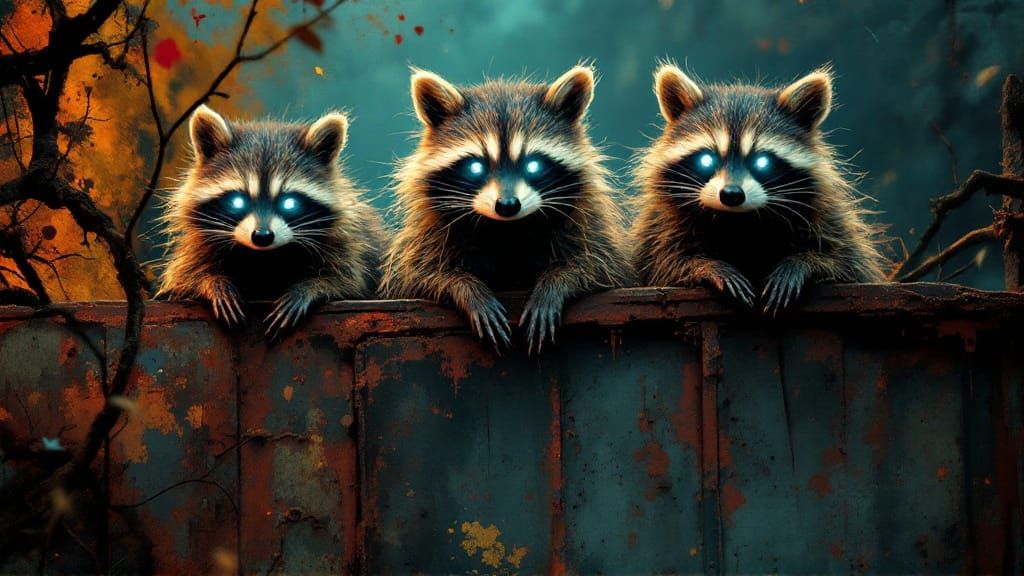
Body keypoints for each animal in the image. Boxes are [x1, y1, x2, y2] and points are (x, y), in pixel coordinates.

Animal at [156, 105, 383, 335]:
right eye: (238, 201)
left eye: (289, 202)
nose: (262, 236)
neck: (264, 256)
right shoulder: (198, 244)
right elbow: (183, 277)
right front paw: (213, 283)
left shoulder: (347, 243)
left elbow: (349, 281)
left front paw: (310, 288)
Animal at [380, 65, 631, 352]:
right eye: (475, 167)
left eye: (533, 165)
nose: (508, 205)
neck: (508, 230)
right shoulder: (431, 230)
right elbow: (418, 276)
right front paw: (467, 289)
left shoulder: (584, 218)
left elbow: (601, 264)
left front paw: (554, 284)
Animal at [631, 64, 885, 313]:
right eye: (706, 159)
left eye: (762, 161)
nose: (731, 195)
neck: (739, 221)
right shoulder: (660, 226)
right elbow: (664, 263)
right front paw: (708, 267)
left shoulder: (828, 219)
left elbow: (846, 263)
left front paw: (801, 263)